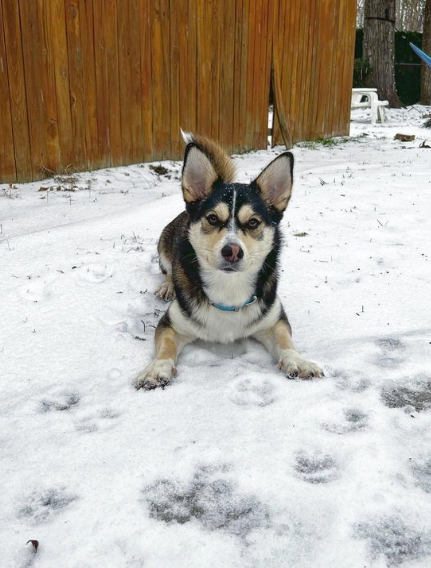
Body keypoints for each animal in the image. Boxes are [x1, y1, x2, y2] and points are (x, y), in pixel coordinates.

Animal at [137, 133, 322, 390]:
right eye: (213, 218)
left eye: (253, 222)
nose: (232, 251)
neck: (228, 288)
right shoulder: (171, 323)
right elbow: (165, 346)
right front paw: (157, 368)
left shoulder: (274, 319)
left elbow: (286, 341)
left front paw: (297, 360)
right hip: (164, 245)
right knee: (167, 271)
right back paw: (167, 286)